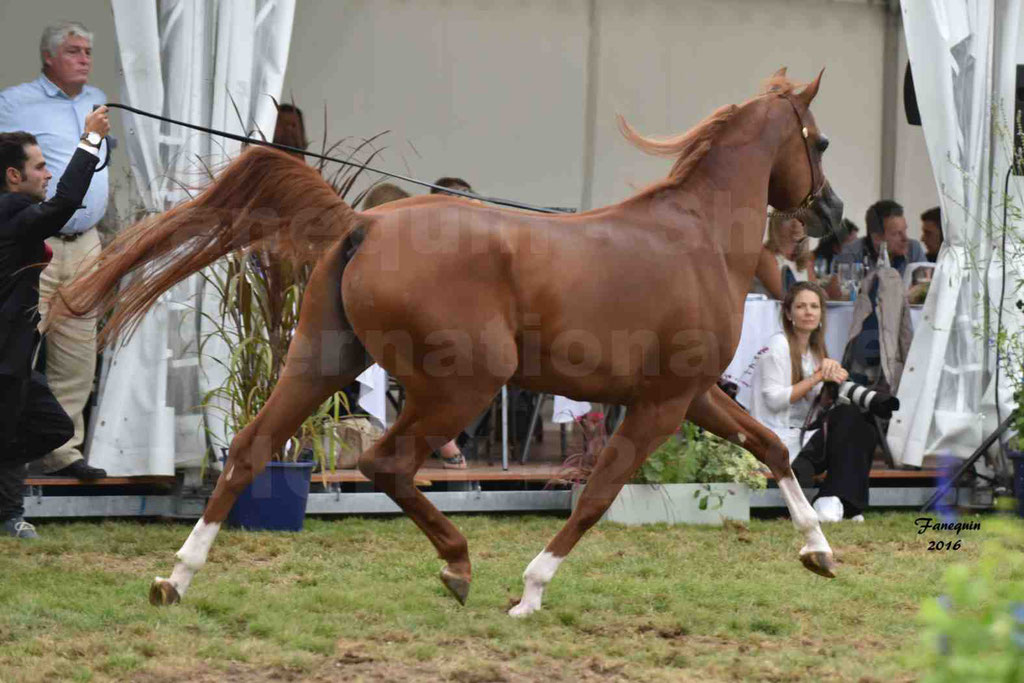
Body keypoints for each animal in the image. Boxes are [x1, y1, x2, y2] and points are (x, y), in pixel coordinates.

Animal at [51, 68, 843, 614]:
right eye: (821, 139)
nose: (830, 212)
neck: (695, 236)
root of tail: (361, 224)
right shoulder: (663, 404)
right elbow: (596, 495)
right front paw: (530, 591)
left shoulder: (693, 394)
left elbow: (770, 448)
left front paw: (820, 551)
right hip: (462, 385)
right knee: (384, 461)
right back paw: (458, 564)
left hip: (320, 362)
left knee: (251, 450)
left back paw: (176, 577)